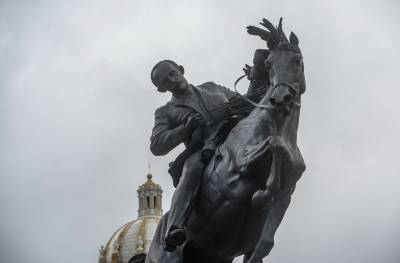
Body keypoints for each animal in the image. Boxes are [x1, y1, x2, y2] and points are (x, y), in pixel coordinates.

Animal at [145, 18, 304, 263]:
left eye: (297, 60)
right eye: (269, 64)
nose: (281, 99)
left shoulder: (287, 194)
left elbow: (265, 244)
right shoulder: (237, 168)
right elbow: (273, 146)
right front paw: (262, 195)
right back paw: (175, 232)